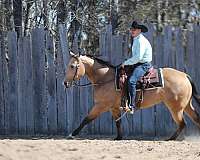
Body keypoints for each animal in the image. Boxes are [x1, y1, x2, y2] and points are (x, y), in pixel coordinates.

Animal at [63, 51, 200, 140]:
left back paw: (170, 139)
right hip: (186, 106)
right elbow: (118, 122)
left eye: (72, 66)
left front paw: (72, 134)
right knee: (195, 119)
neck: (105, 78)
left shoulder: (101, 105)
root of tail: (184, 75)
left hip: (176, 108)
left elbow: (87, 119)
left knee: (182, 123)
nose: (65, 83)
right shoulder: (114, 108)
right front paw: (119, 137)